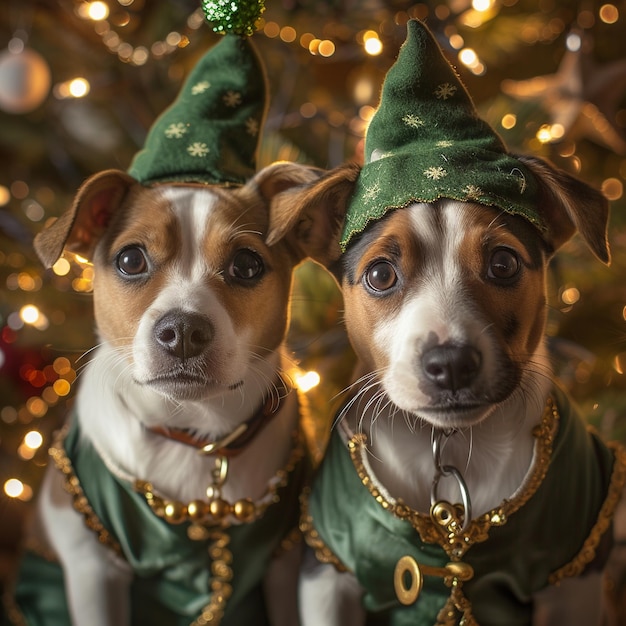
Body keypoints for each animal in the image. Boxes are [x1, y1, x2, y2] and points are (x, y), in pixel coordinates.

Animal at [2, 161, 354, 624]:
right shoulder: (94, 569)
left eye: (247, 264)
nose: (183, 331)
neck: (195, 435)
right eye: (130, 259)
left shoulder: (285, 561)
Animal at [282, 152, 624, 624]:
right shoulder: (328, 572)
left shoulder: (575, 574)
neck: (451, 442)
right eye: (381, 274)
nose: (451, 365)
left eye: (503, 264)